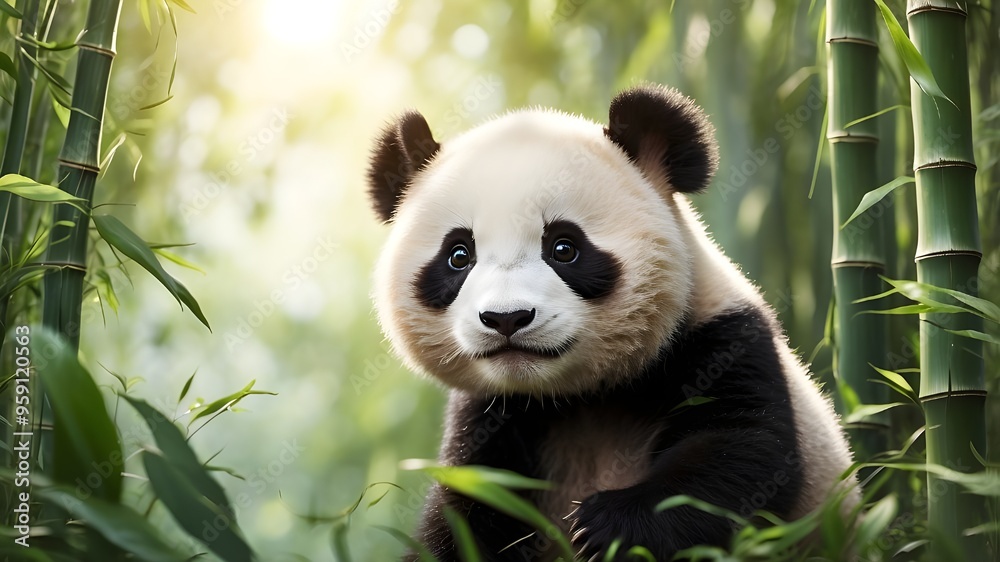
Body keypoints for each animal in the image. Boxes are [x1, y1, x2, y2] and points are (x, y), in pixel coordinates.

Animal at [366, 84, 858, 561]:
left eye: (564, 247)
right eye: (458, 255)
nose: (507, 318)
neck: (582, 396)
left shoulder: (722, 336)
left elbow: (742, 454)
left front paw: (603, 526)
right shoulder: (490, 409)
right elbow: (470, 507)